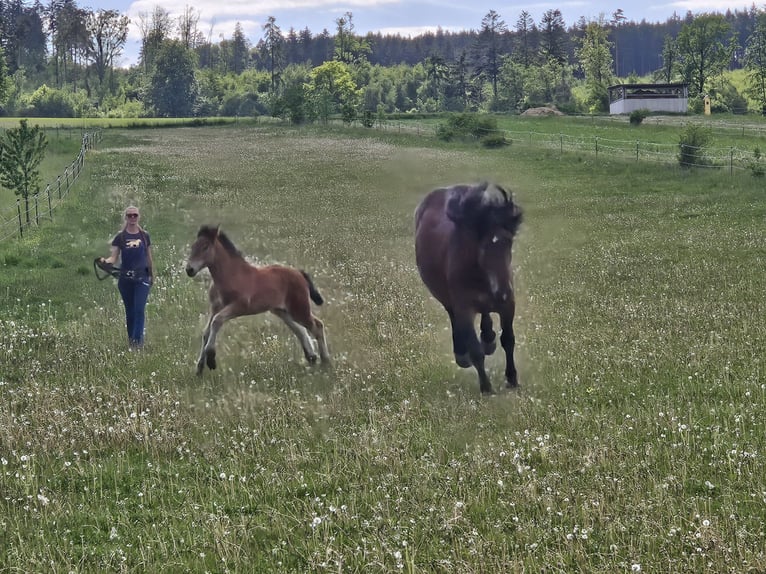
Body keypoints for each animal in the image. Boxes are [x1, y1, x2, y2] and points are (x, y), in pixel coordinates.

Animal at [185, 225, 330, 375]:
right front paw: (199, 368)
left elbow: (216, 321)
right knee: (300, 330)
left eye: (205, 247)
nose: (189, 269)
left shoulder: (240, 306)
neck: (232, 275)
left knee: (317, 325)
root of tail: (299, 273)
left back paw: (325, 362)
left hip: (299, 309)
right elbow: (206, 333)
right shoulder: (215, 307)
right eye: (193, 246)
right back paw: (312, 357)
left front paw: (211, 360)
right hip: (283, 311)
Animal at [414, 182, 523, 394]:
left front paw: (512, 379)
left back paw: (488, 340)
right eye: (483, 247)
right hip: (448, 299)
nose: (503, 293)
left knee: (486, 315)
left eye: (509, 242)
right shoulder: (464, 307)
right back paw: (462, 355)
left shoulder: (508, 305)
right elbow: (475, 351)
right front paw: (486, 388)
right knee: (454, 317)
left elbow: (508, 340)